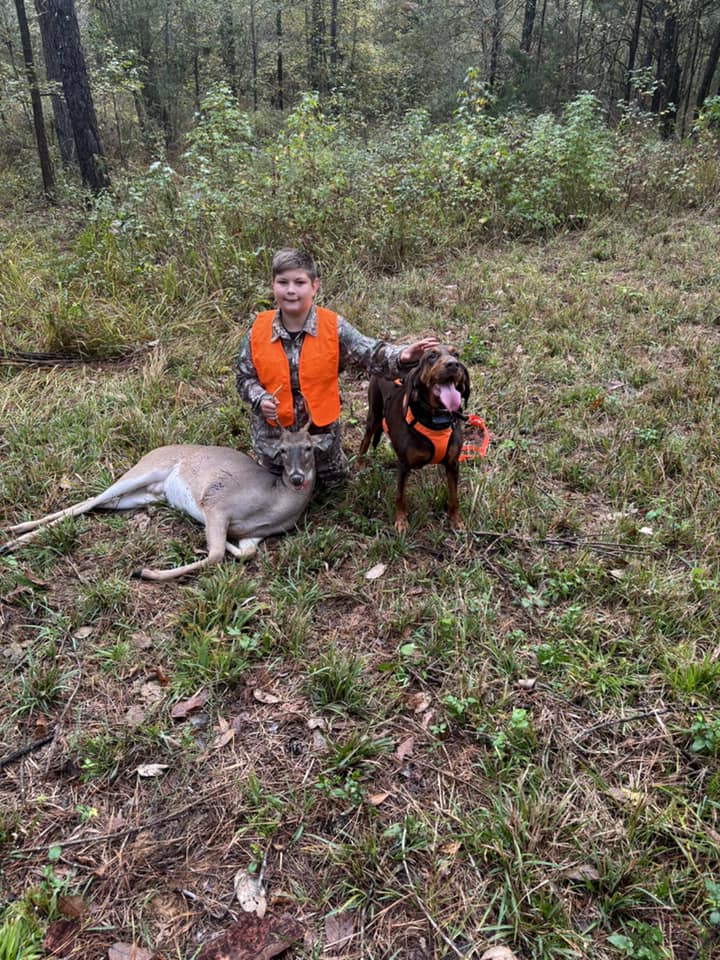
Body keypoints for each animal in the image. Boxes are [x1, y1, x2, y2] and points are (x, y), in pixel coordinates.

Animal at [0, 430, 318, 580]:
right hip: (143, 472)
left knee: (93, 503)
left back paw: (13, 534)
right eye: (282, 450)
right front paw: (144, 572)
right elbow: (215, 555)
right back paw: (14, 537)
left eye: (309, 448)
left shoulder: (253, 536)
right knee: (93, 499)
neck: (273, 503)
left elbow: (244, 553)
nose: (297, 477)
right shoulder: (217, 505)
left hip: (143, 495)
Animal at [358, 344, 470, 532]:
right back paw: (360, 466)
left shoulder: (452, 464)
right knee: (364, 442)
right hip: (374, 415)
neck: (436, 419)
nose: (453, 364)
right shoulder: (404, 465)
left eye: (456, 354)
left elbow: (454, 497)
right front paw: (401, 521)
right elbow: (400, 496)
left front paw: (456, 521)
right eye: (431, 356)